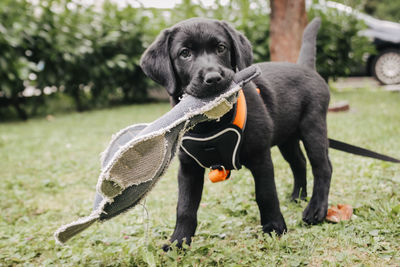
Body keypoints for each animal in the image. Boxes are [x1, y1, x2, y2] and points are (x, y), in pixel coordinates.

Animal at [141, 18, 332, 249]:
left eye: (221, 47)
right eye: (184, 53)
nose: (213, 78)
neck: (211, 124)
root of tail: (305, 68)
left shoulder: (260, 157)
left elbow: (266, 194)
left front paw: (274, 228)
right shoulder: (188, 167)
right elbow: (185, 207)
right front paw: (179, 241)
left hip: (313, 127)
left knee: (322, 167)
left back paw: (316, 210)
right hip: (287, 137)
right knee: (299, 163)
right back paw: (297, 197)